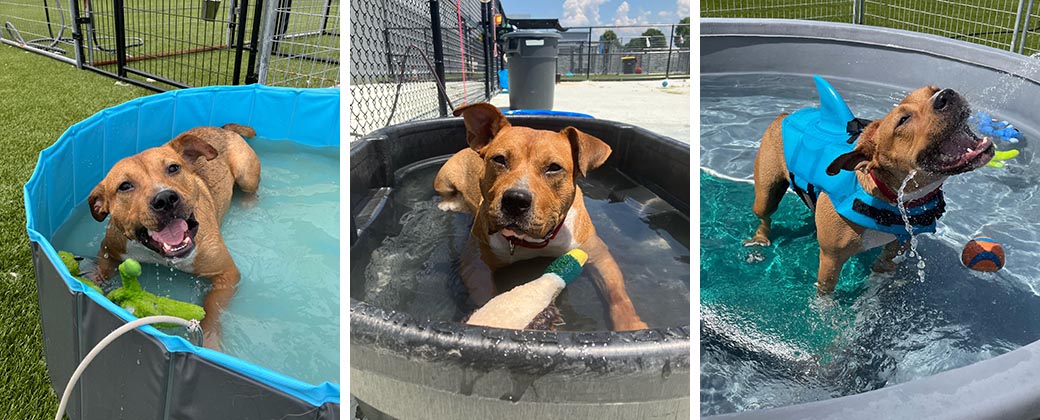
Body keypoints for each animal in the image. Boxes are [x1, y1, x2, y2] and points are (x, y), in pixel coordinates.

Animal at [87, 123, 262, 347]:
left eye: (173, 168)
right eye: (124, 186)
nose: (165, 198)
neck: (160, 255)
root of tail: (222, 128)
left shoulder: (227, 274)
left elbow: (212, 307)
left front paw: (209, 338)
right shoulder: (110, 249)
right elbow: (100, 270)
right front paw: (89, 281)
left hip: (246, 176)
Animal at [432, 102, 644, 330]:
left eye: (554, 168)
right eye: (499, 159)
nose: (515, 199)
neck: (532, 242)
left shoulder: (597, 253)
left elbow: (617, 294)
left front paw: (631, 325)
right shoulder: (475, 262)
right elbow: (486, 295)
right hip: (443, 179)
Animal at [744, 86, 994, 293]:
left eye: (933, 90)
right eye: (903, 120)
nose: (945, 95)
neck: (890, 197)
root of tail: (785, 116)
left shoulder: (896, 246)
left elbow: (881, 272)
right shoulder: (831, 261)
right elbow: (825, 293)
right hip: (766, 191)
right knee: (764, 215)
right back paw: (760, 239)